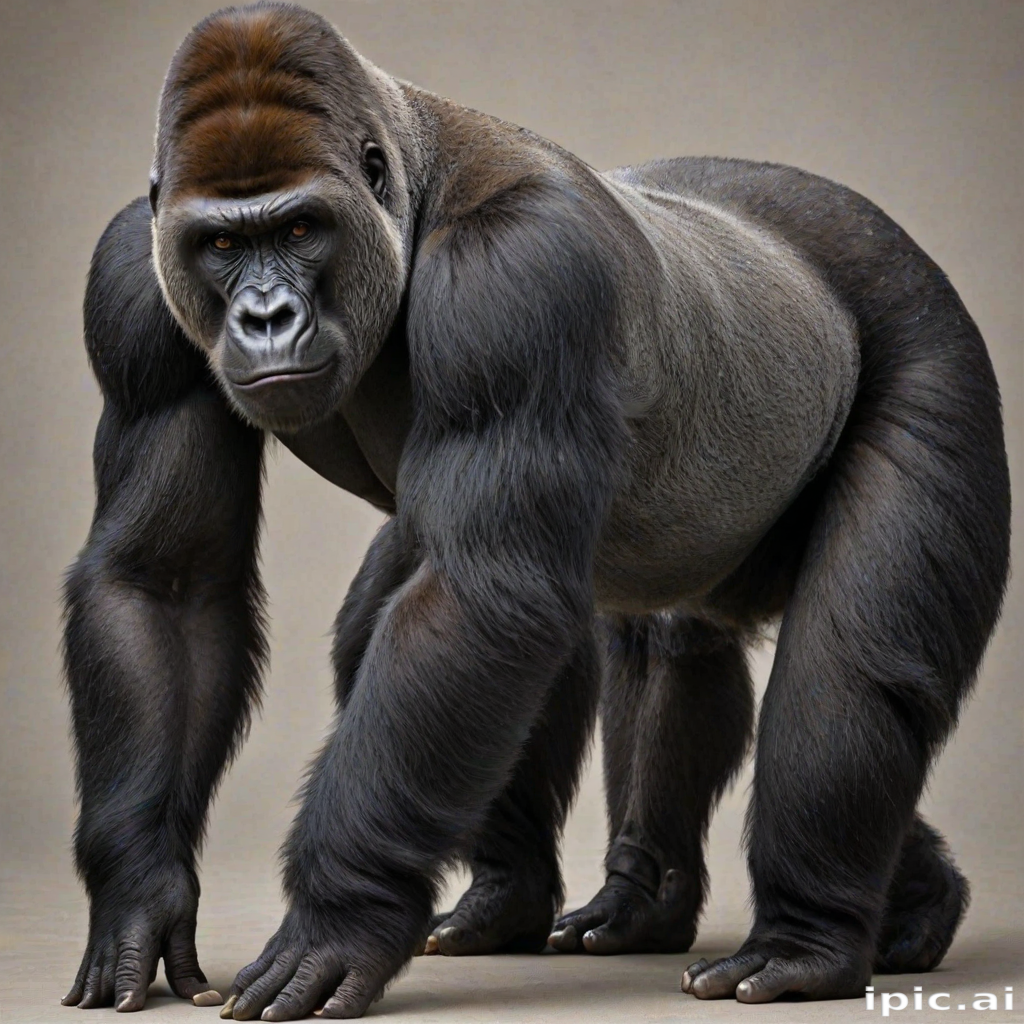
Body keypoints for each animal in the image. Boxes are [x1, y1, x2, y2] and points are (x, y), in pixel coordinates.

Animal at [60, 2, 1010, 1019]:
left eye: (304, 227)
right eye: (223, 245)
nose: (266, 317)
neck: (415, 186)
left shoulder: (515, 275)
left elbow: (482, 595)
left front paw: (334, 916)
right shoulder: (132, 280)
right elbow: (165, 581)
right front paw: (141, 893)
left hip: (924, 321)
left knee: (846, 668)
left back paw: (809, 943)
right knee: (638, 642)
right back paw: (619, 903)